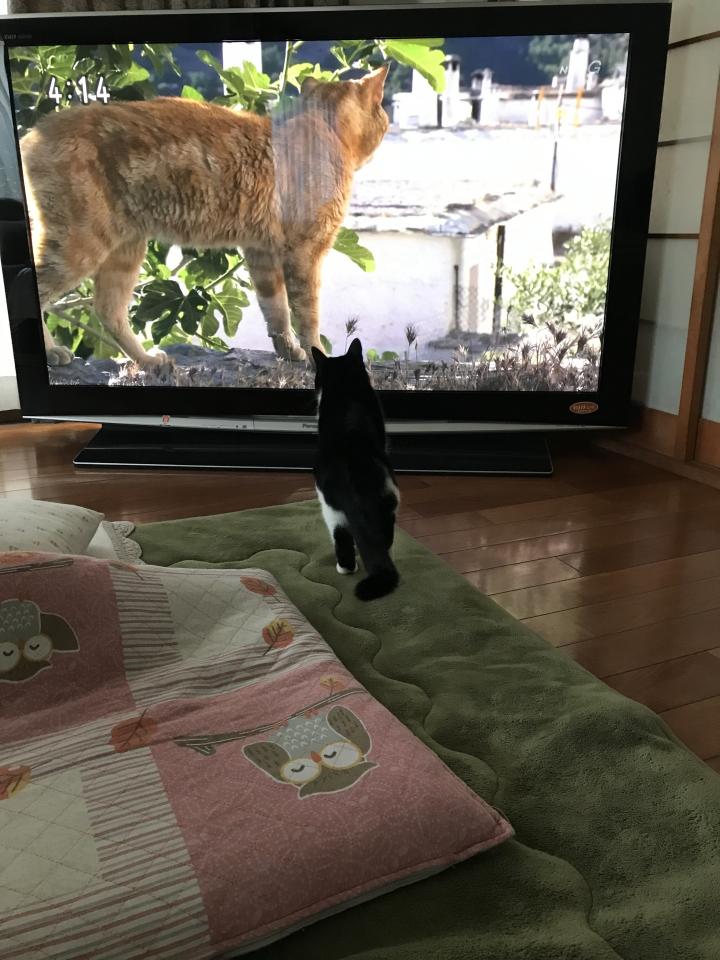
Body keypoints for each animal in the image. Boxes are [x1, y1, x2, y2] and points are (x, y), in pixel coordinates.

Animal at [19, 65, 389, 368]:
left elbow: (277, 312)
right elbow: (307, 315)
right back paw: (54, 352)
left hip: (125, 250)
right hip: (80, 245)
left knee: (108, 311)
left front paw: (288, 352)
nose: (388, 123)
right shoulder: (304, 254)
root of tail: (33, 132)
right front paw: (314, 355)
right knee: (38, 292)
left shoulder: (261, 253)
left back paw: (147, 361)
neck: (324, 132)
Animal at [312, 338, 400, 602]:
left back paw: (346, 567)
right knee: (381, 537)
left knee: (343, 536)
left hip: (330, 506)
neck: (345, 386)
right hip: (383, 500)